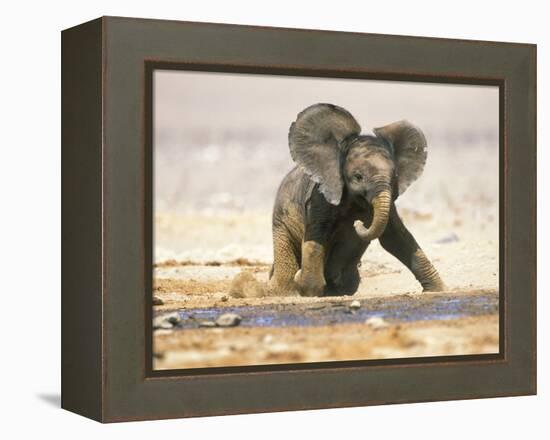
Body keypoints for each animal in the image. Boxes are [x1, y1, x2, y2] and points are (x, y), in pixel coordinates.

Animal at [231, 101, 446, 298]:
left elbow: (395, 238)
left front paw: (437, 290)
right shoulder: (320, 197)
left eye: (394, 176)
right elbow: (317, 235)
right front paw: (309, 289)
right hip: (280, 221)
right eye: (358, 177)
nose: (359, 223)